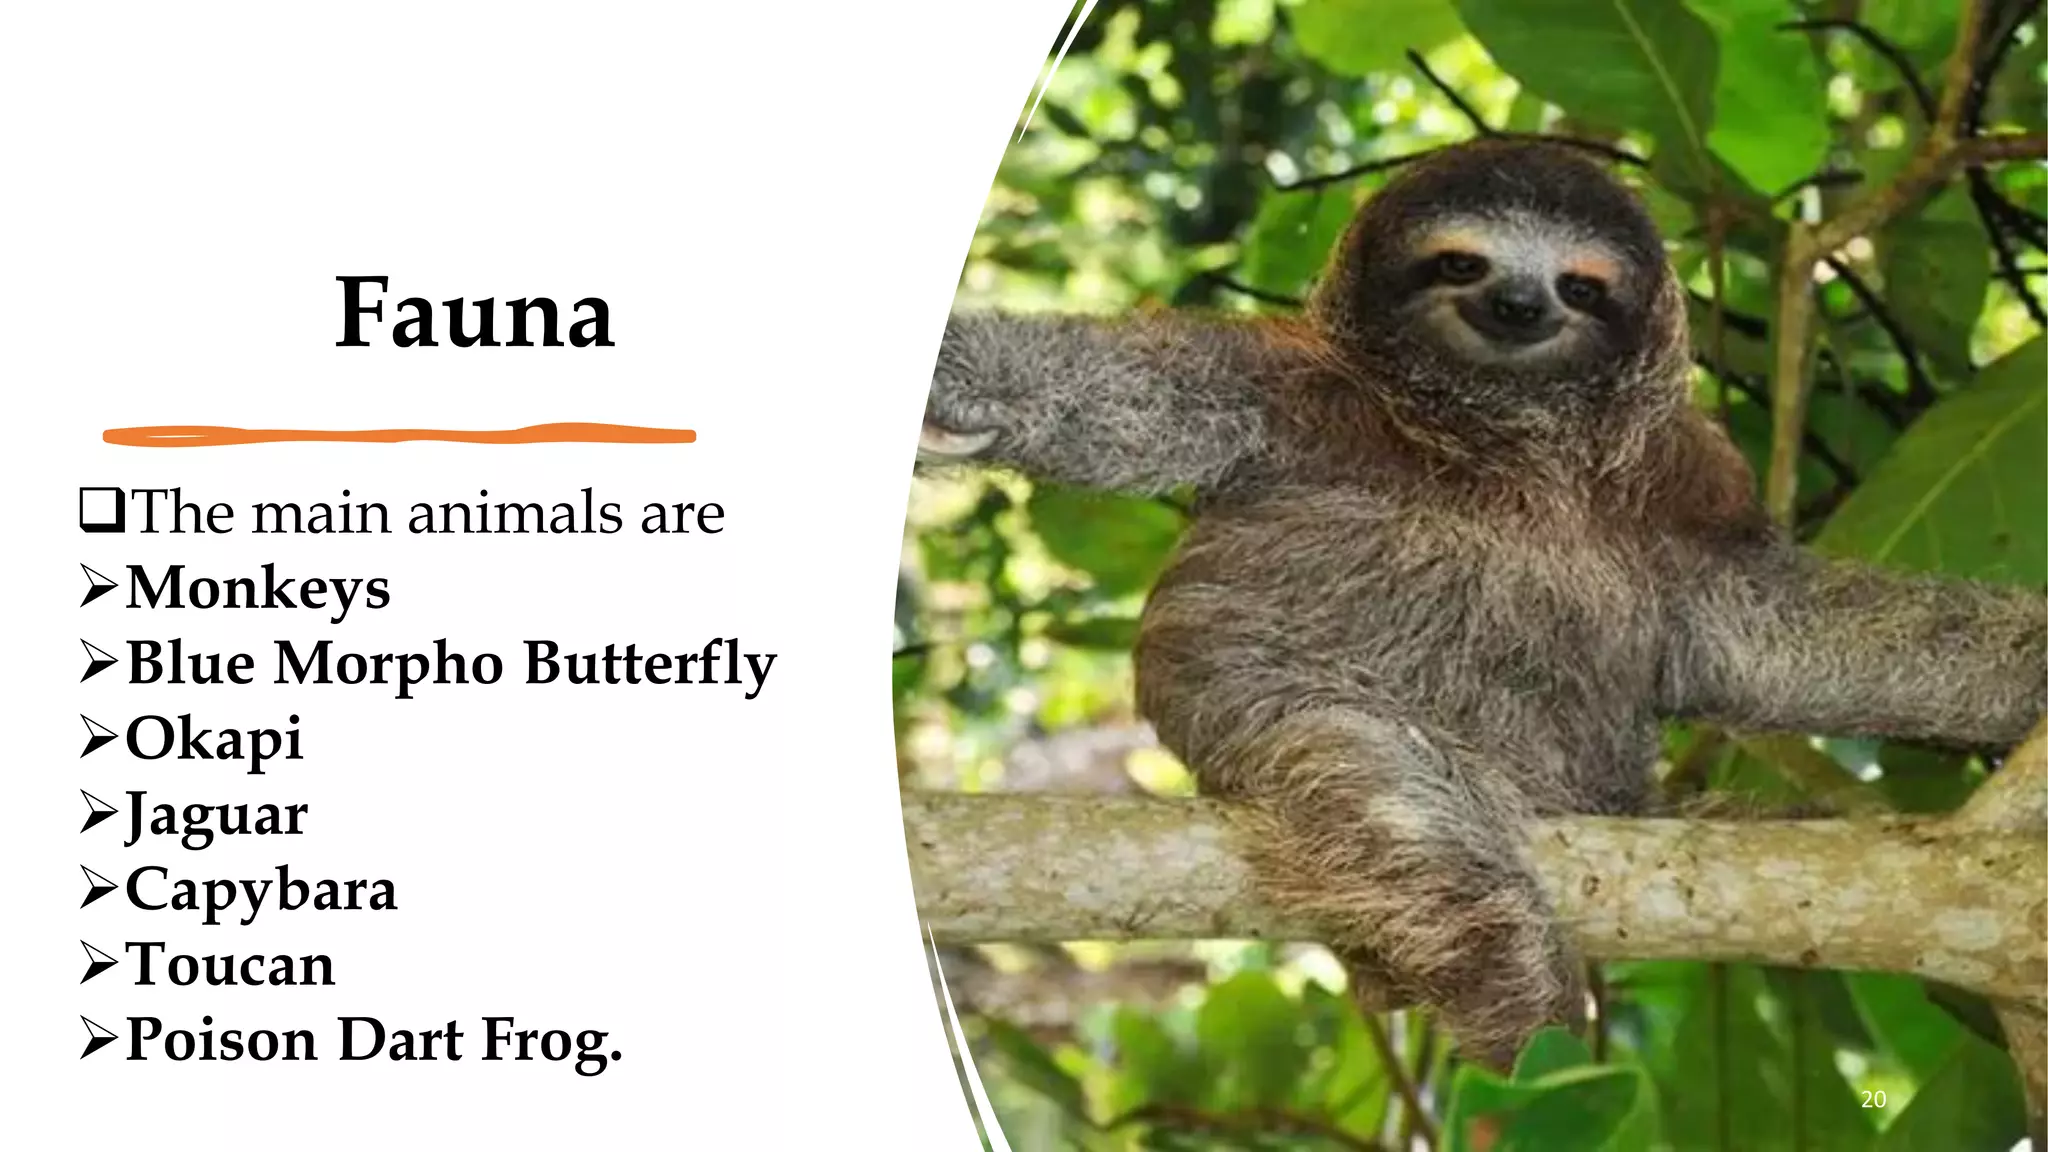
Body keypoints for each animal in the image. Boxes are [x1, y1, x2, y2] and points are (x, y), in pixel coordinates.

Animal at [915, 137, 2048, 1069]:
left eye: (1581, 285)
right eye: (1461, 262)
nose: (1518, 305)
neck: (1506, 437)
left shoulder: (1687, 482)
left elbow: (1791, 629)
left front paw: (2023, 665)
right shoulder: (1282, 390)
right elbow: (1120, 392)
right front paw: (954, 379)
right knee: (1412, 822)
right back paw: (1516, 1012)